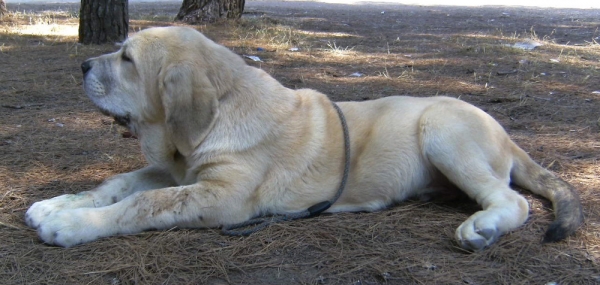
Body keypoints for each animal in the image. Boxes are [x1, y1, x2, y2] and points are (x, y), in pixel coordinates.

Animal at [25, 26, 584, 248]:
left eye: (127, 59)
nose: (82, 65)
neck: (220, 112)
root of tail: (507, 136)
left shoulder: (221, 196)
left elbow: (143, 203)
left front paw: (72, 225)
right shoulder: (181, 171)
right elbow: (120, 184)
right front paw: (57, 204)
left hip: (441, 129)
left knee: (512, 200)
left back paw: (481, 227)